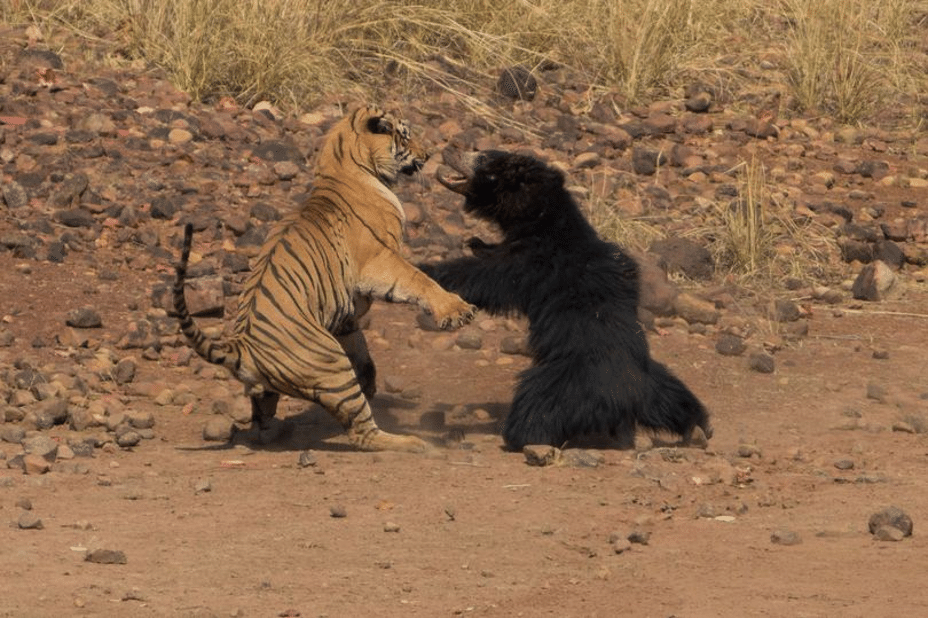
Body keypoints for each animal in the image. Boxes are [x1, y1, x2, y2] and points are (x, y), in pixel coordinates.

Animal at [173, 104, 474, 452]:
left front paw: (370, 379)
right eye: (405, 135)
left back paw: (276, 432)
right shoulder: (380, 260)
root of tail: (243, 347)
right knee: (362, 433)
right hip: (332, 366)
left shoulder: (344, 312)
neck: (341, 164)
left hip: (275, 387)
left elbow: (358, 342)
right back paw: (412, 442)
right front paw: (456, 310)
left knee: (262, 417)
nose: (428, 154)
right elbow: (419, 281)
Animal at [420, 149, 712, 448]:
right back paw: (697, 427)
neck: (543, 220)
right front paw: (476, 243)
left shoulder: (533, 263)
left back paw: (520, 436)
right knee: (678, 399)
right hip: (657, 382)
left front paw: (427, 270)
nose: (449, 150)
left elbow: (487, 277)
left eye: (484, 159)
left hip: (563, 385)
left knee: (535, 408)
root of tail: (627, 399)